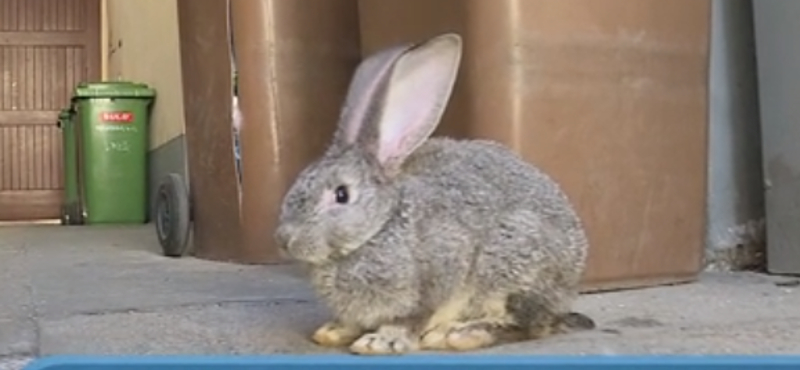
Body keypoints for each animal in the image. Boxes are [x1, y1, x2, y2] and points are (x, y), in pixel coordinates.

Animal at [276, 32, 592, 356]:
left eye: (341, 195)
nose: (285, 240)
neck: (380, 227)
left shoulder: (437, 275)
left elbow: (411, 318)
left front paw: (380, 341)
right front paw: (333, 331)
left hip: (511, 264)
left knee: (525, 324)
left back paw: (460, 334)